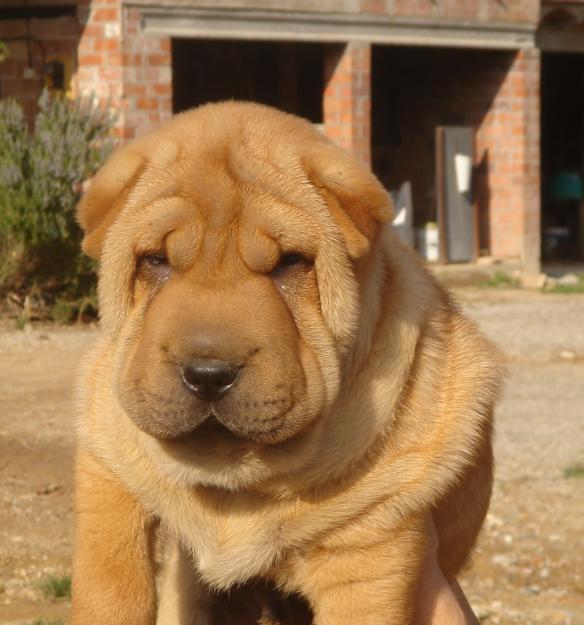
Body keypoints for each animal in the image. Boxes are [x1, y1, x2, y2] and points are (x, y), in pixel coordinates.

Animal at [73, 102, 502, 624]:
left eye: (290, 263)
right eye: (156, 260)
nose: (208, 375)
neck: (237, 486)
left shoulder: (372, 548)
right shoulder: (108, 469)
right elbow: (110, 587)